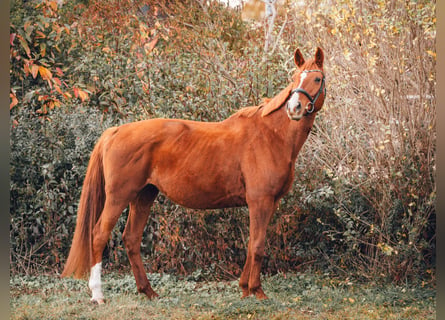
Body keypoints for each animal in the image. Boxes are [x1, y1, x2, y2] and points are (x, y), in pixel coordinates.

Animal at [61, 47, 326, 302]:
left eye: (317, 78)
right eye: (294, 78)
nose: (294, 108)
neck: (271, 135)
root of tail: (114, 131)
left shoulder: (269, 202)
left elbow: (251, 244)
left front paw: (244, 288)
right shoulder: (260, 201)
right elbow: (258, 245)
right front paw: (257, 291)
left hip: (143, 196)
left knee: (131, 239)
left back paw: (148, 291)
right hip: (119, 197)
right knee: (99, 235)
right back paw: (98, 295)